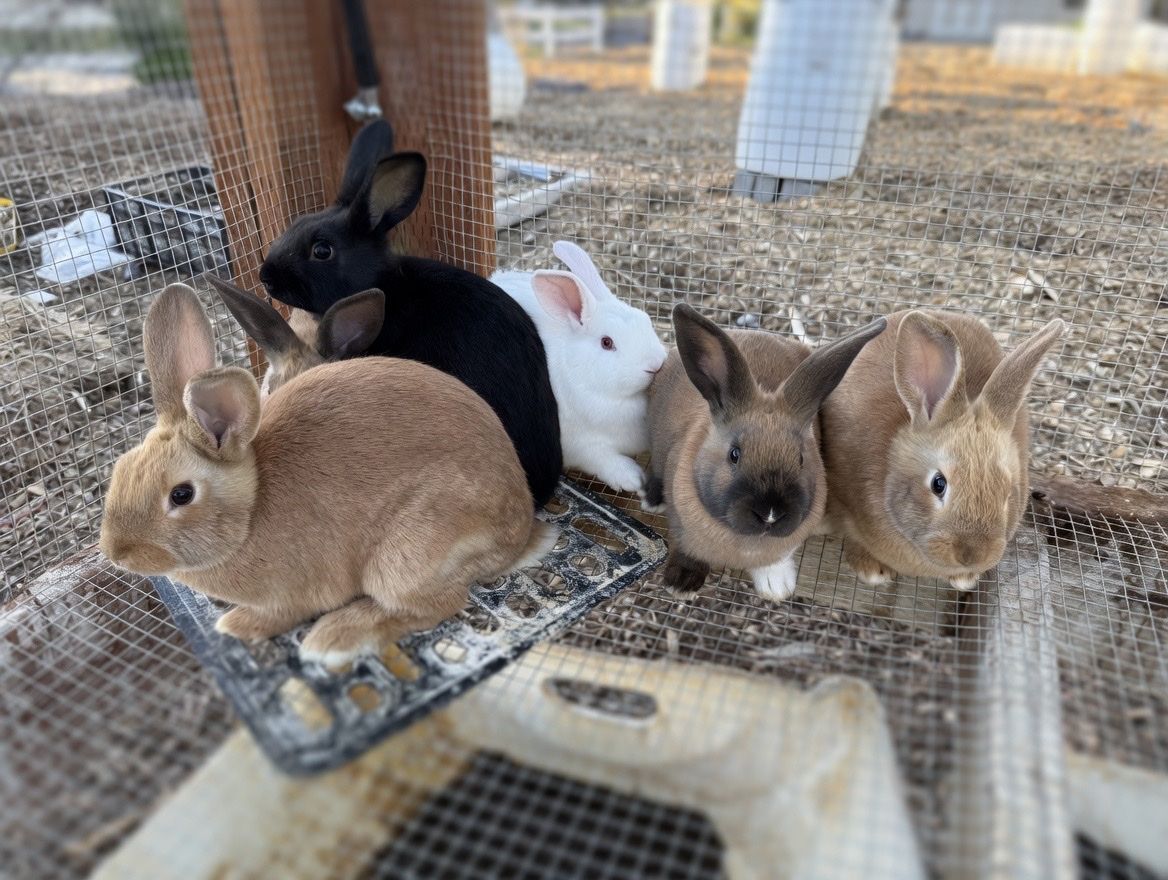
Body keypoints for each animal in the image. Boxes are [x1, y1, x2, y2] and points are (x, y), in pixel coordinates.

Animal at [99, 283, 558, 668]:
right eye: (119, 470)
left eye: (181, 495)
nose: (117, 553)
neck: (251, 511)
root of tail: (520, 531)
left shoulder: (292, 594)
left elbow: (280, 614)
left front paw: (237, 625)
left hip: (407, 557)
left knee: (437, 604)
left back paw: (335, 638)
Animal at [490, 240, 667, 493]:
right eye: (607, 342)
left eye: (645, 319)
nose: (655, 364)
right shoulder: (580, 445)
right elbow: (603, 459)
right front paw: (632, 479)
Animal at [644, 303, 887, 602]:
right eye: (734, 454)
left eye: (801, 458)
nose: (770, 514)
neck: (746, 541)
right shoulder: (682, 526)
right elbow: (687, 550)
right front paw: (680, 584)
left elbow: (775, 559)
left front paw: (777, 586)